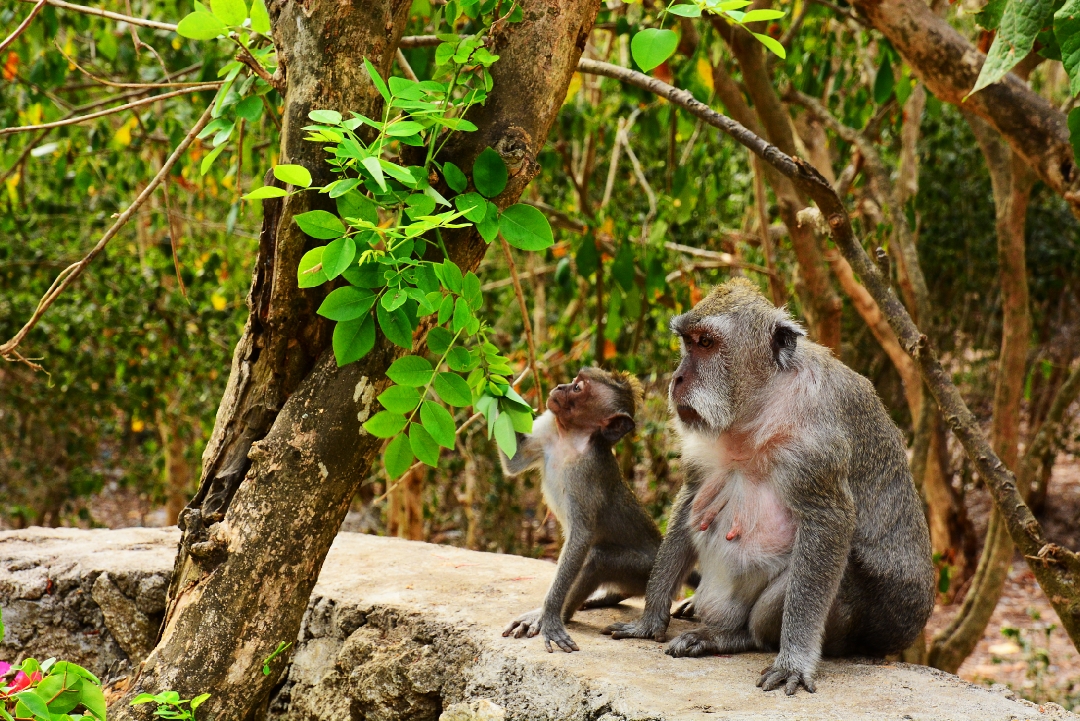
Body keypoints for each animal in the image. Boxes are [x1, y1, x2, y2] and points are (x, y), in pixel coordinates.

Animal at [498, 366, 665, 651]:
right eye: (575, 380)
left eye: (577, 388)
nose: (560, 386)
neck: (571, 438)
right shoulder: (547, 429)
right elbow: (514, 461)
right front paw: (498, 383)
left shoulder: (586, 474)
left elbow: (581, 537)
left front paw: (549, 617)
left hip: (644, 568)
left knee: (598, 559)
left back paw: (557, 615)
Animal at [609, 280, 937, 690]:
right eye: (688, 342)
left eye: (706, 343)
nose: (678, 379)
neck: (759, 405)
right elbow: (691, 499)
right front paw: (650, 617)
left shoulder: (814, 443)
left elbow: (829, 521)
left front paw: (793, 661)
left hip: (870, 625)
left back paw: (736, 637)